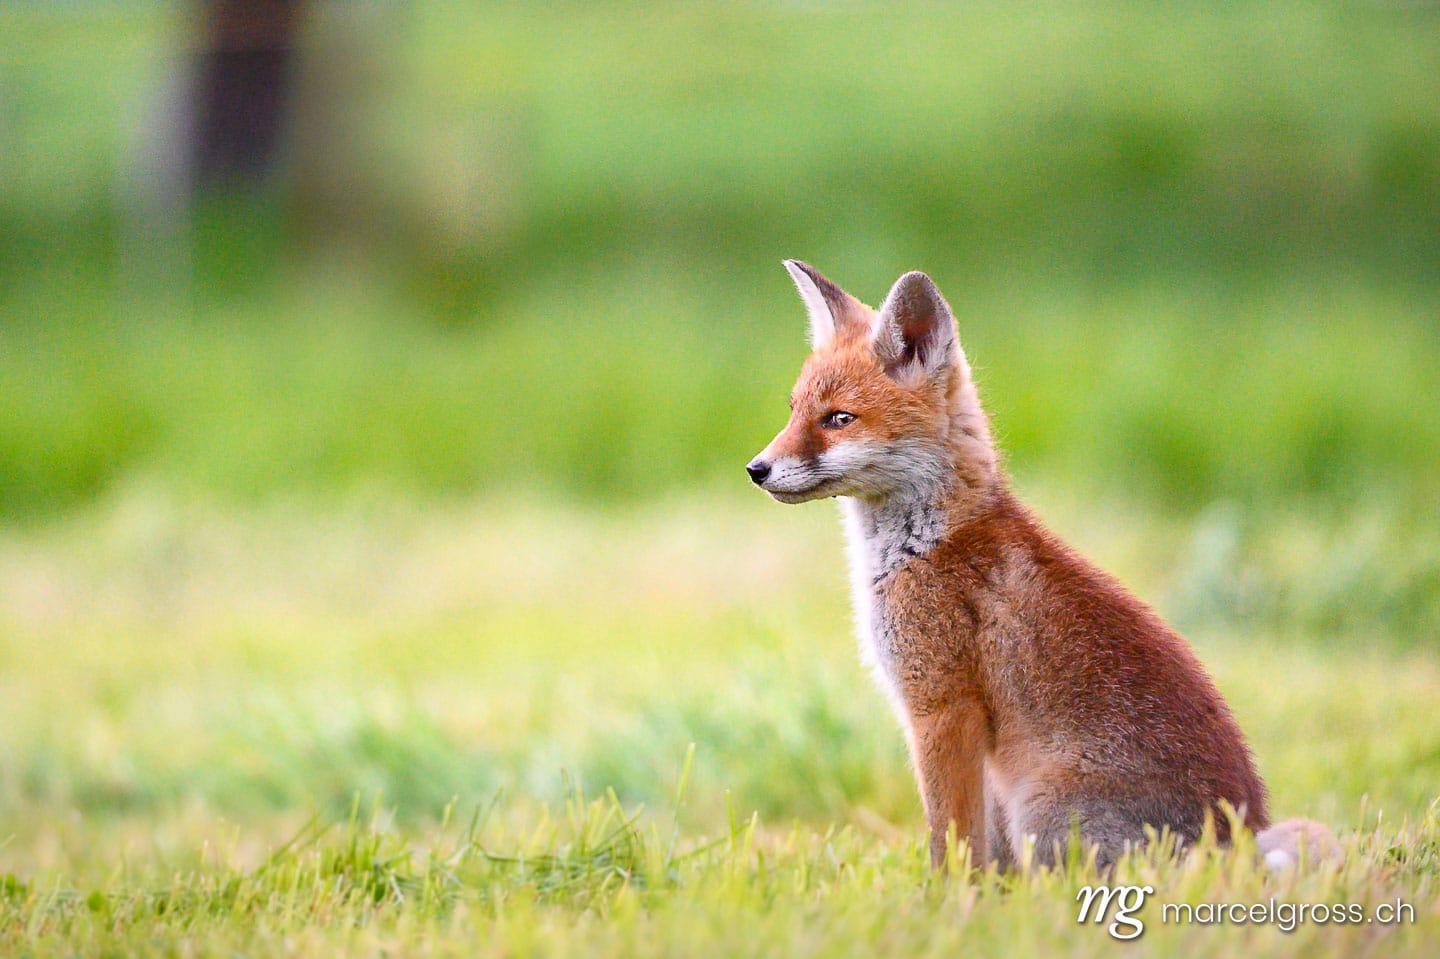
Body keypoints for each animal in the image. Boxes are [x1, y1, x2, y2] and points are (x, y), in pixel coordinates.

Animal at [747, 260, 1337, 872]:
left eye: (839, 418)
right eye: (794, 411)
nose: (756, 468)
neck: (923, 545)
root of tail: (1235, 840)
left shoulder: (942, 709)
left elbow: (950, 839)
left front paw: (944, 895)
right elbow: (977, 848)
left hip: (1041, 808)